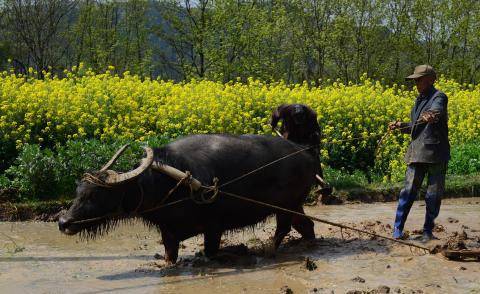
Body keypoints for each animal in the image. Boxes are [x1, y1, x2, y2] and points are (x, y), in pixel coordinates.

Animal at [59, 134, 318, 262]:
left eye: (96, 193)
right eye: (78, 191)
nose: (63, 222)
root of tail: (306, 155)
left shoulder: (214, 227)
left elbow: (210, 252)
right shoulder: (168, 232)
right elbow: (169, 257)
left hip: (286, 205)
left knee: (284, 228)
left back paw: (269, 252)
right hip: (295, 205)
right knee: (305, 225)